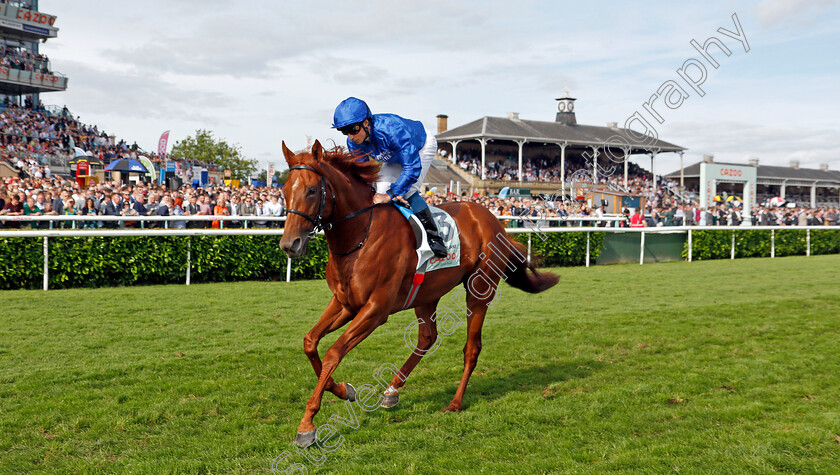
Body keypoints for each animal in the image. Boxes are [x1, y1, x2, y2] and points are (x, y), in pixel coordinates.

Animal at [278, 139, 560, 448]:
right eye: (284, 190)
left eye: (312, 190)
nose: (290, 244)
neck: (360, 236)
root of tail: (493, 219)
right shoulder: (345, 303)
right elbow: (310, 342)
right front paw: (342, 389)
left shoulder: (376, 309)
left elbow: (333, 352)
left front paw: (307, 424)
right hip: (426, 294)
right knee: (427, 337)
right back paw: (392, 390)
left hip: (480, 288)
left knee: (471, 348)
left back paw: (454, 403)